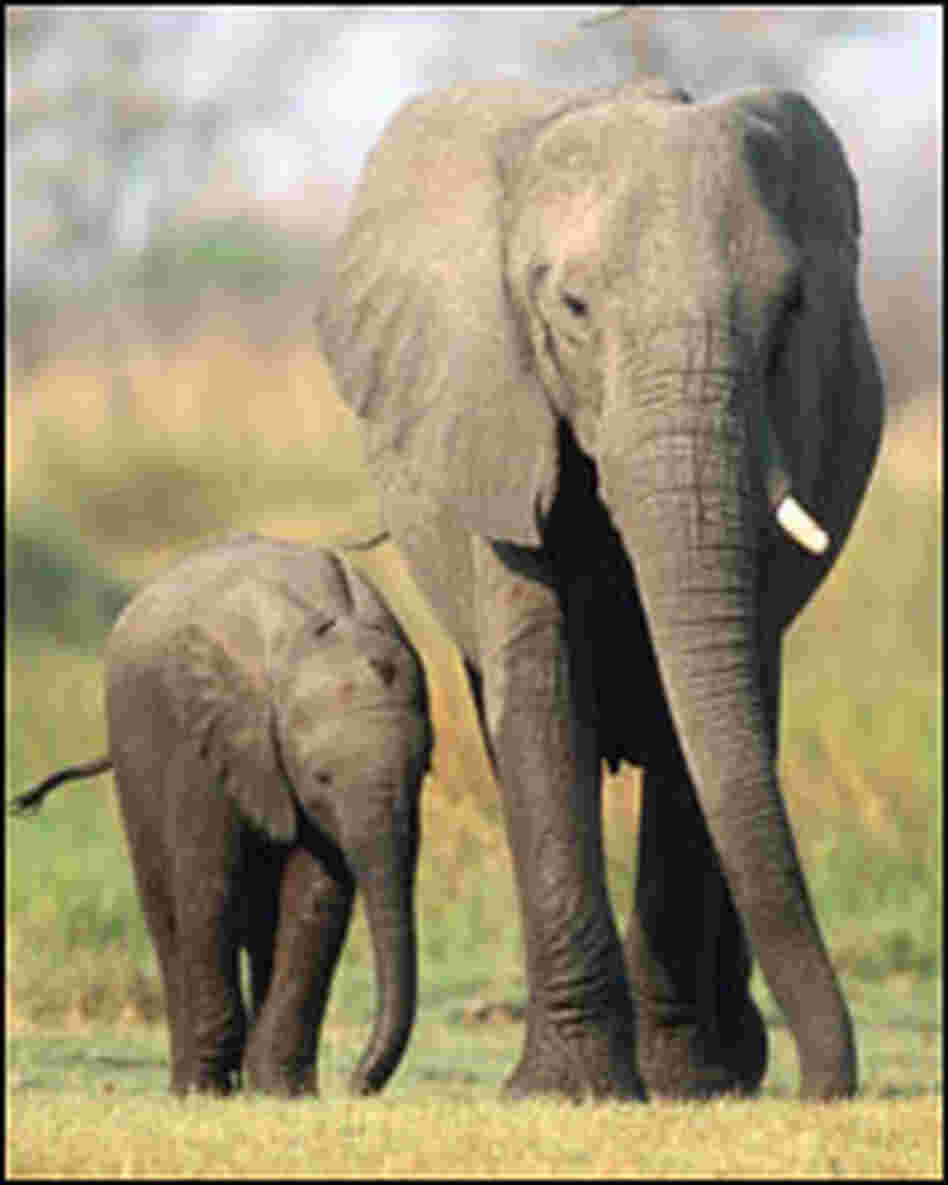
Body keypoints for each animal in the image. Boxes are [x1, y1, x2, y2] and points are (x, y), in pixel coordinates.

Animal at [11, 535, 433, 1097]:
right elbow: (210, 883)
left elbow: (315, 899)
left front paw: (282, 1093)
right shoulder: (204, 739)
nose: (356, 1084)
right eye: (320, 778)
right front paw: (209, 1091)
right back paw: (188, 1082)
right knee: (165, 910)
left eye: (424, 769)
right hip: (134, 750)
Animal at [317, 79, 884, 1102]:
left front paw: (686, 1083)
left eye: (789, 312)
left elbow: (702, 712)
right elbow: (541, 697)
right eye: (573, 308)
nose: (830, 1084)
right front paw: (571, 1088)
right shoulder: (492, 416)